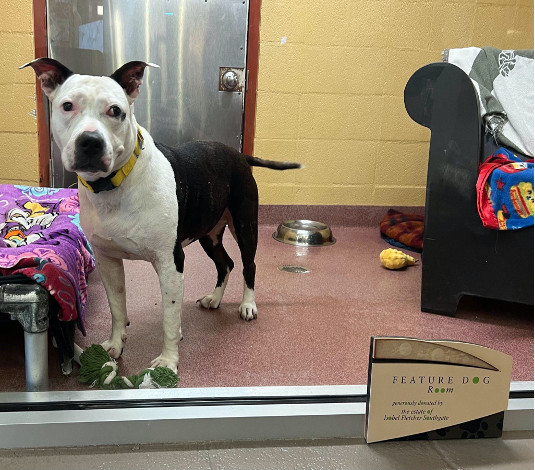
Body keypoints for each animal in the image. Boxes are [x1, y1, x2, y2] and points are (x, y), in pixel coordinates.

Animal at [23, 58, 302, 370]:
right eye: (67, 105)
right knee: (225, 264)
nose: (91, 141)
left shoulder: (171, 264)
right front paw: (115, 345)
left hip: (244, 226)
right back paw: (214, 299)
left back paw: (248, 305)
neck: (114, 185)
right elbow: (117, 308)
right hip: (209, 234)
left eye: (115, 111)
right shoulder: (108, 261)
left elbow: (169, 319)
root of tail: (239, 154)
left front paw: (168, 362)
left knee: (247, 265)